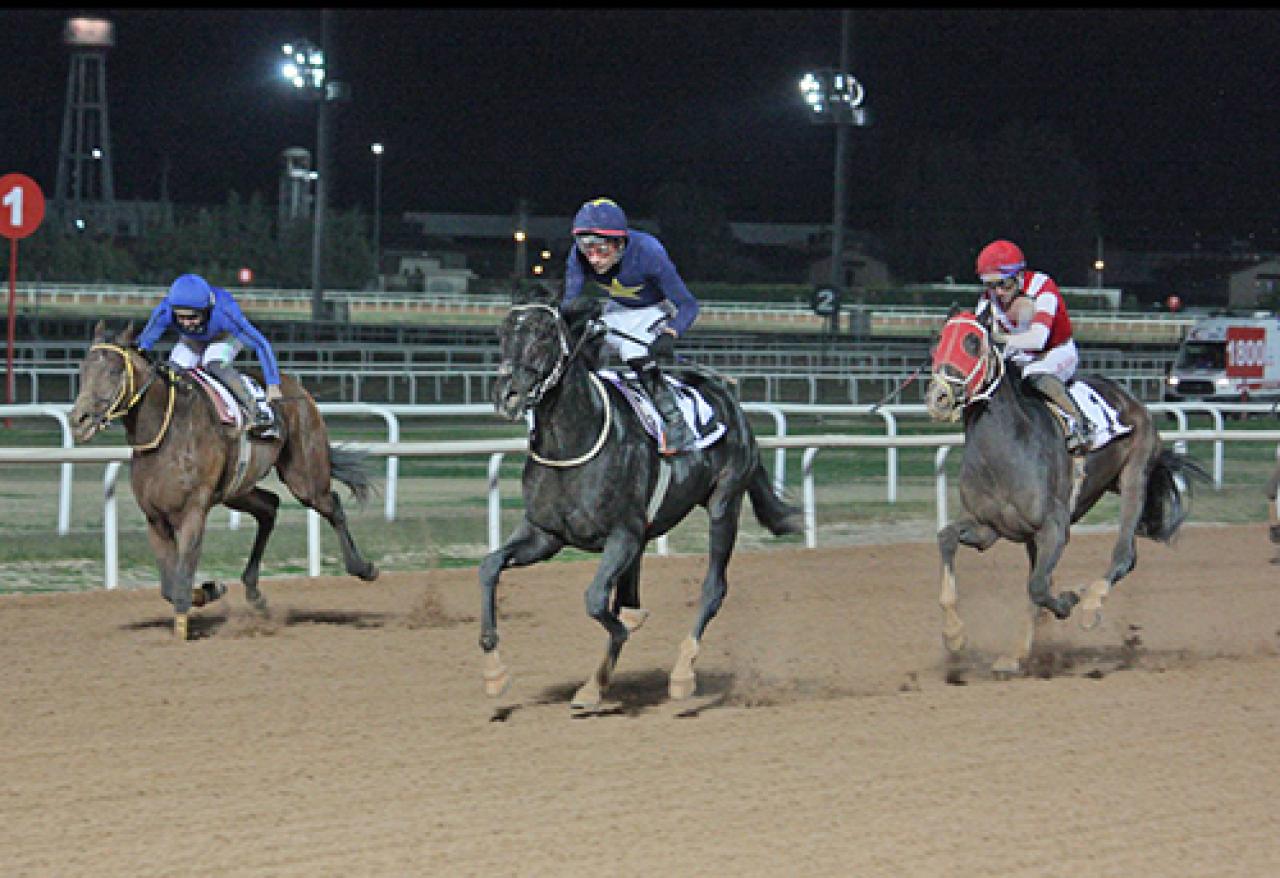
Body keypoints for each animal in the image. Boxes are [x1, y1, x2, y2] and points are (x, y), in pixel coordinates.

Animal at [70, 323, 378, 639]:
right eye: (83, 369)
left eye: (113, 371)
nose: (78, 419)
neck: (166, 432)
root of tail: (297, 388)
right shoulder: (155, 519)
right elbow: (170, 586)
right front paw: (210, 590)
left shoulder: (193, 512)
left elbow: (181, 578)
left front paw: (187, 623)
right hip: (236, 490)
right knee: (270, 506)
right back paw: (254, 592)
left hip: (304, 477)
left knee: (331, 504)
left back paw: (363, 567)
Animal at [481, 285, 798, 711]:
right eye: (501, 332)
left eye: (544, 334)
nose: (508, 394)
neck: (573, 442)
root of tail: (730, 399)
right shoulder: (545, 535)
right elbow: (490, 566)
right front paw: (495, 672)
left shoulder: (622, 535)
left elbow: (597, 600)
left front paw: (622, 639)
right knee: (628, 595)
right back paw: (596, 683)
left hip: (724, 502)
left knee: (712, 589)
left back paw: (681, 674)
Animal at [926, 313, 1203, 675]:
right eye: (938, 342)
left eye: (972, 342)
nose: (938, 398)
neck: (1003, 452)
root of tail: (1129, 399)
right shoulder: (987, 527)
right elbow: (947, 538)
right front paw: (955, 635)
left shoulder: (1055, 527)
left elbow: (1038, 586)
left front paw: (1071, 601)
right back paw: (1018, 652)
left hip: (1134, 475)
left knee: (1124, 554)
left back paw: (1091, 603)